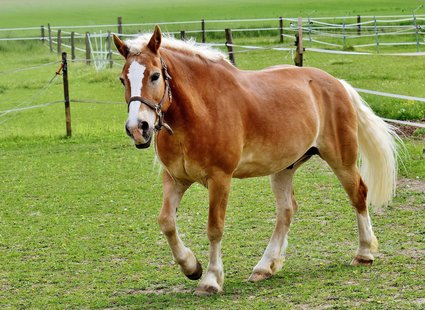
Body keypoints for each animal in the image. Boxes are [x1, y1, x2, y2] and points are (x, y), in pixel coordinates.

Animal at [112, 26, 398, 296]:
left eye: (154, 75)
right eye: (122, 79)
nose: (138, 128)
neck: (199, 111)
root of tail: (337, 83)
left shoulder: (220, 179)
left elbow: (215, 227)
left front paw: (211, 280)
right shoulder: (175, 179)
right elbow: (166, 222)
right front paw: (192, 267)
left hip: (341, 160)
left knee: (358, 194)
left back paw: (364, 253)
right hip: (284, 167)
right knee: (287, 210)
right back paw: (265, 267)